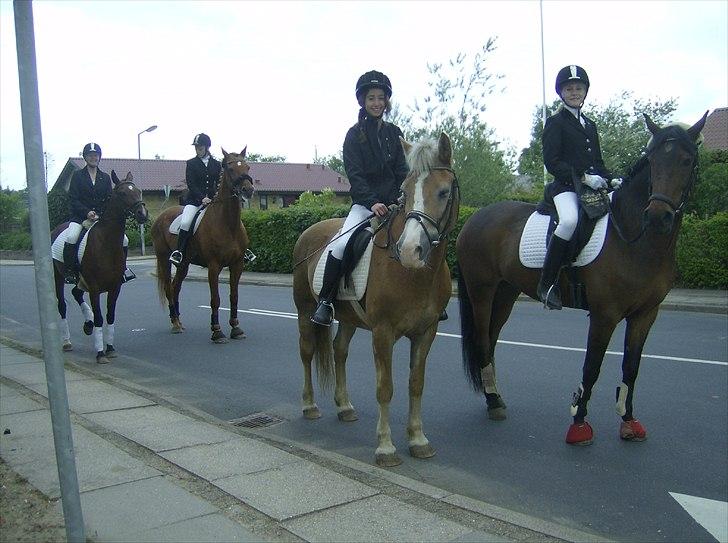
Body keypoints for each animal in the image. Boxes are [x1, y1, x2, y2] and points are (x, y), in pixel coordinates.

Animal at [51, 172, 148, 364]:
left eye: (138, 191)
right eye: (122, 193)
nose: (142, 214)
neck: (106, 243)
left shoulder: (115, 287)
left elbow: (110, 316)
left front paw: (110, 348)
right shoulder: (94, 288)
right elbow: (99, 317)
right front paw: (100, 353)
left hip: (81, 281)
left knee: (76, 293)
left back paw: (87, 325)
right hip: (59, 275)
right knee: (62, 305)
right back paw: (67, 342)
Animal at [149, 148, 255, 344]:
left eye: (247, 167)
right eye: (230, 169)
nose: (248, 190)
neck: (228, 224)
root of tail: (161, 216)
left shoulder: (237, 265)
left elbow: (234, 296)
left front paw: (236, 328)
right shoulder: (213, 266)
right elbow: (215, 299)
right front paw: (217, 331)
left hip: (183, 264)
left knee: (175, 287)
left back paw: (178, 321)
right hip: (164, 259)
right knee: (168, 287)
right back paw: (175, 324)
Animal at [292, 133, 458, 468]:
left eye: (444, 191)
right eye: (405, 191)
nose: (409, 251)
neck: (415, 274)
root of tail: (309, 232)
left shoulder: (426, 332)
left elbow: (415, 384)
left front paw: (418, 440)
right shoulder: (383, 333)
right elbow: (385, 388)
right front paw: (385, 447)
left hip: (348, 318)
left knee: (339, 351)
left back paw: (344, 407)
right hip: (304, 312)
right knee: (306, 352)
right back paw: (310, 406)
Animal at [460, 111, 704, 446]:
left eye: (686, 160)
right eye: (653, 160)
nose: (657, 217)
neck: (634, 240)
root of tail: (474, 217)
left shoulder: (645, 314)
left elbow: (631, 366)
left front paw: (628, 421)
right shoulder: (605, 315)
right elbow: (592, 366)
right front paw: (578, 424)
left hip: (505, 293)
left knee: (492, 339)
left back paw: (493, 397)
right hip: (481, 291)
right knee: (484, 340)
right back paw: (495, 402)